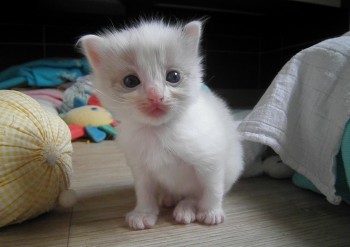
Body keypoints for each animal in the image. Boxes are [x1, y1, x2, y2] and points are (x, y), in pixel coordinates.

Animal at [79, 18, 243, 230]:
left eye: (173, 77)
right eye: (130, 81)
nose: (155, 96)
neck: (159, 131)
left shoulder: (210, 159)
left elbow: (211, 188)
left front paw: (210, 212)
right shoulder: (141, 168)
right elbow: (144, 192)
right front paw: (143, 213)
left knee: (195, 195)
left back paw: (186, 208)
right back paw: (170, 198)